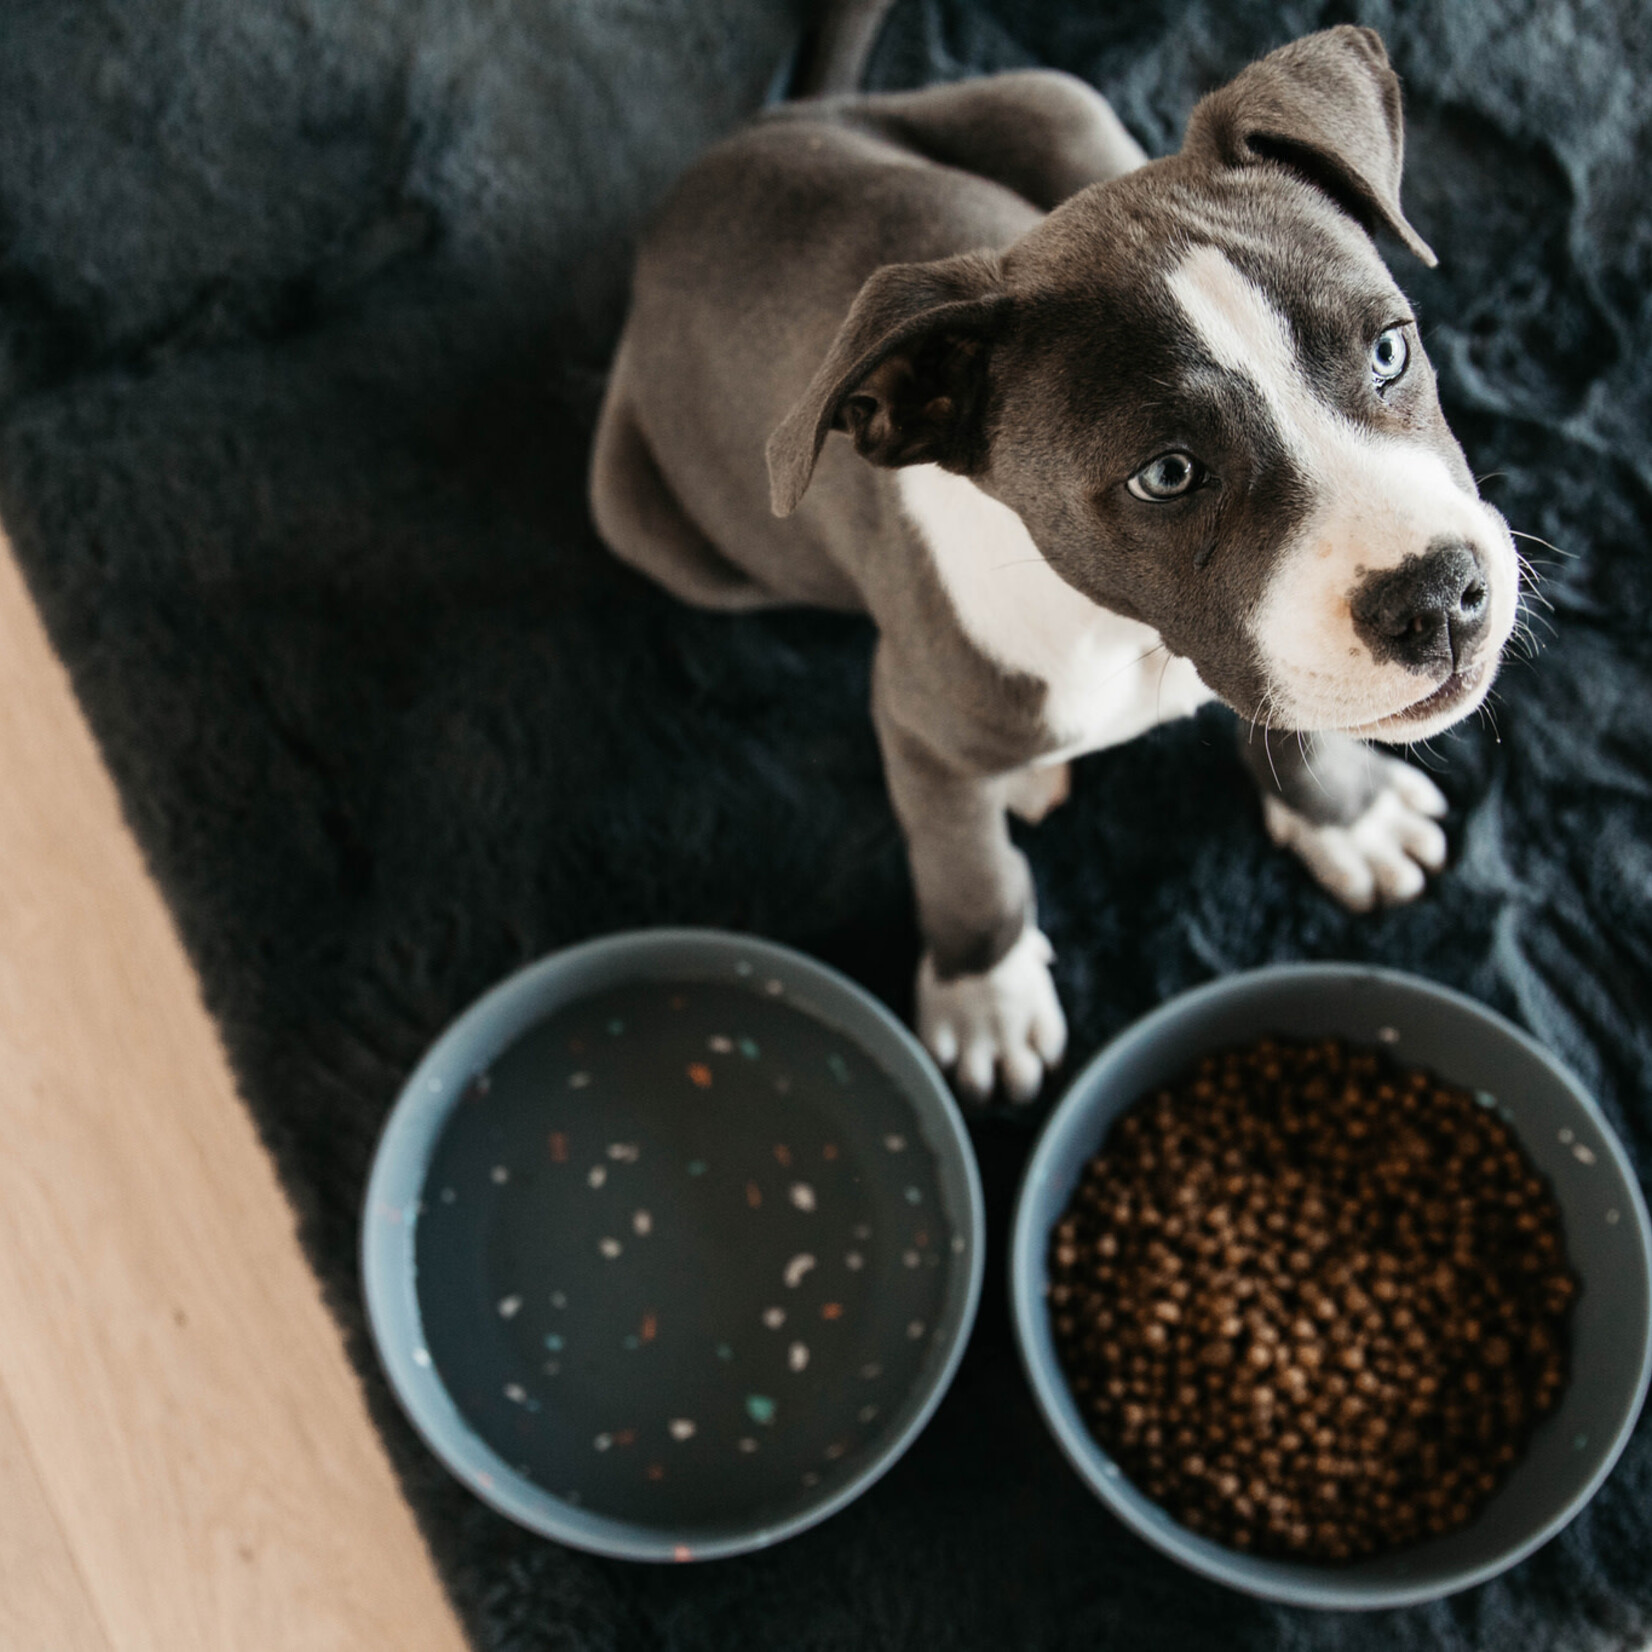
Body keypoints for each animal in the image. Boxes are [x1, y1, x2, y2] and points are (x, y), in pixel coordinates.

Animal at [591, 25, 1519, 1103]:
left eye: (1387, 350)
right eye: (1167, 474)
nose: (1439, 598)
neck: (1123, 632)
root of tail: (759, 130)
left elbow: (1289, 717)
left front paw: (1347, 817)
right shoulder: (912, 716)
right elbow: (962, 859)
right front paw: (984, 993)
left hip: (1061, 103)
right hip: (642, 517)